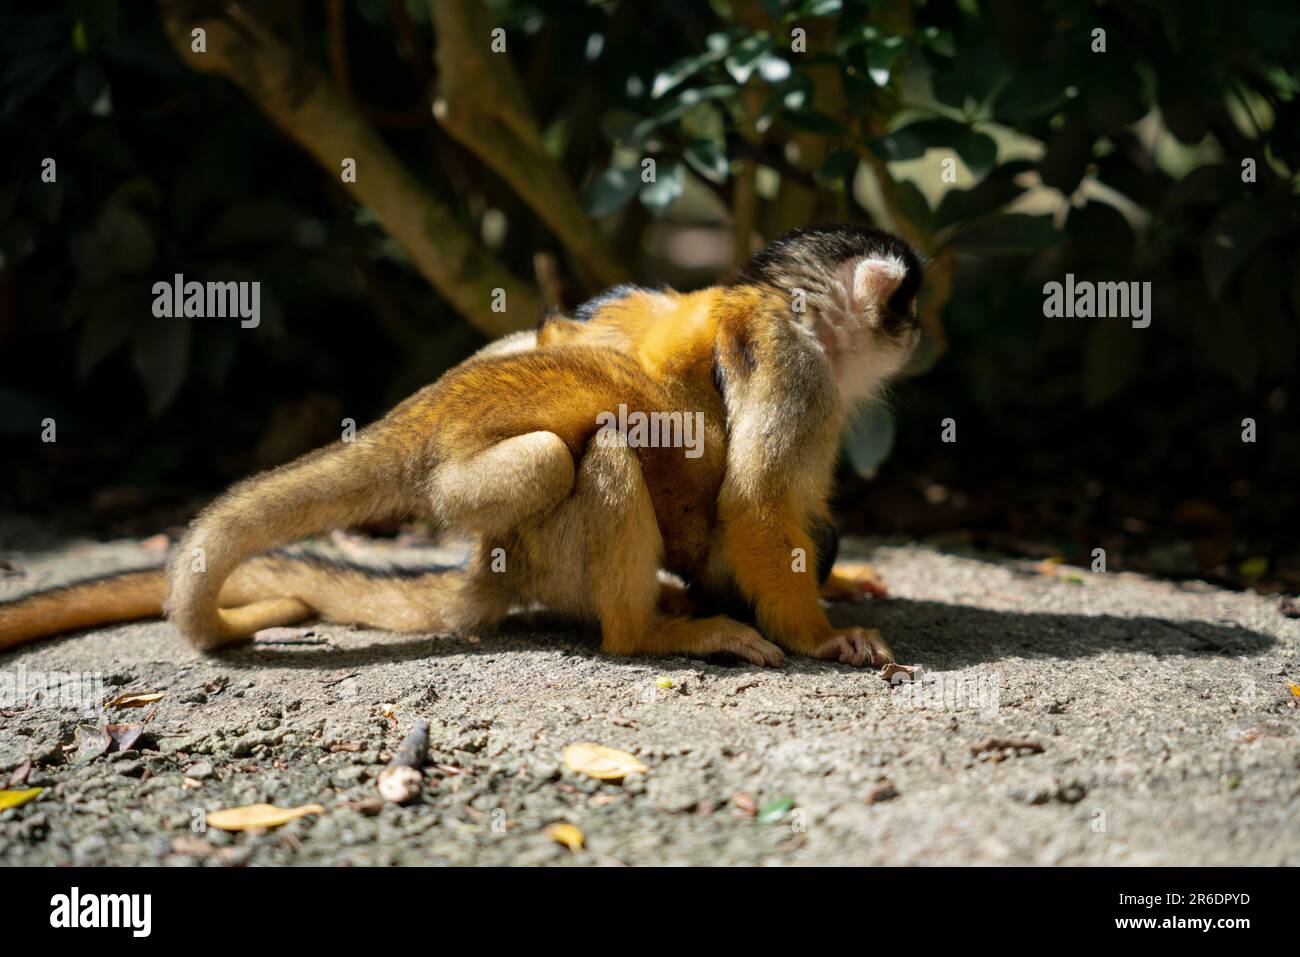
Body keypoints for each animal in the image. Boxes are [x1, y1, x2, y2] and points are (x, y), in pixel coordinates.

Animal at [0, 227, 925, 670]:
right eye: (907, 305)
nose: (921, 330)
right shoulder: (798, 365)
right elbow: (756, 502)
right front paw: (820, 635)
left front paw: (848, 577)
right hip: (530, 528)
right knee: (580, 450)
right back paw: (650, 633)